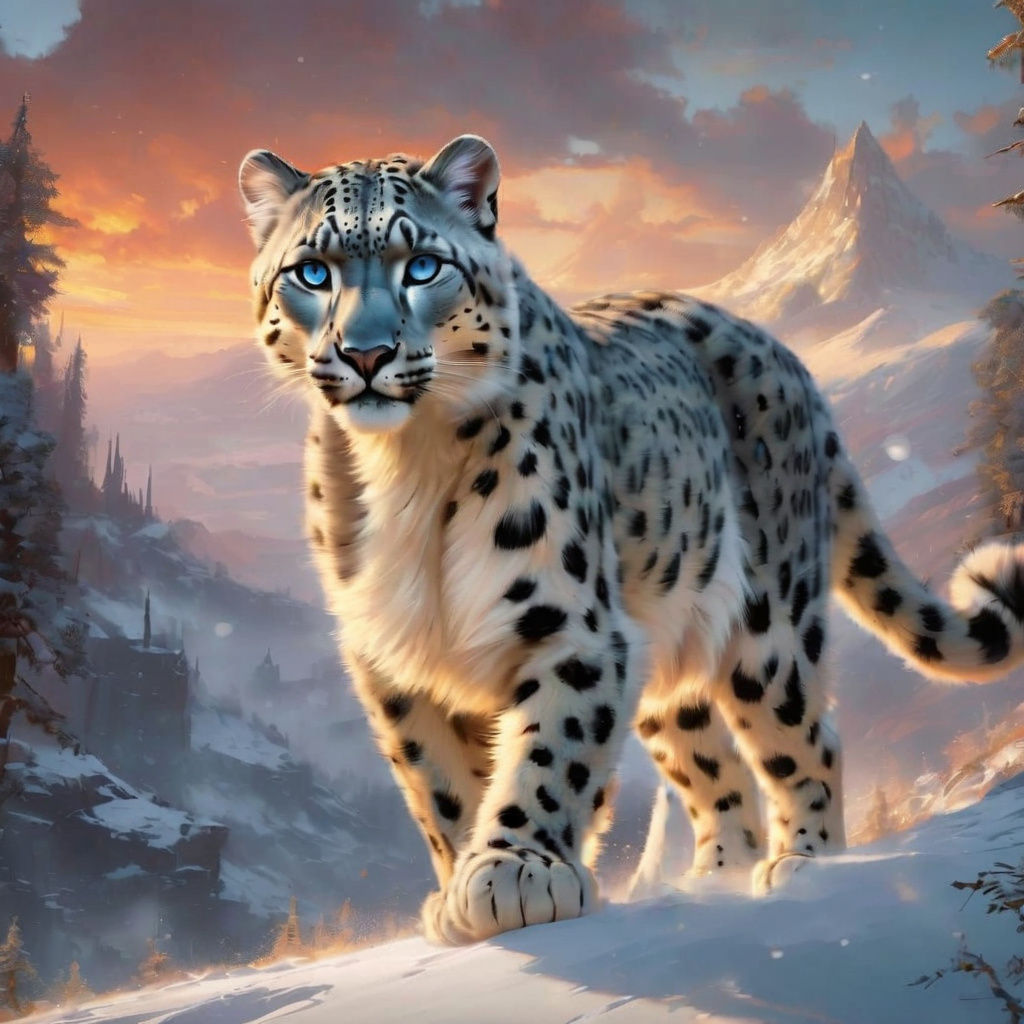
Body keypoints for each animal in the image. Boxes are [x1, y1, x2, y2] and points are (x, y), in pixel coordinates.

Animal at [238, 133, 1024, 944]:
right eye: (312, 271)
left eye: (422, 264)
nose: (365, 354)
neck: (408, 467)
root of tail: (783, 354)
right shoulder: (394, 659)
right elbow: (440, 785)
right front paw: (460, 886)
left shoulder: (571, 626)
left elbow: (549, 751)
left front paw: (515, 873)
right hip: (669, 650)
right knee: (712, 765)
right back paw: (713, 877)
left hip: (769, 626)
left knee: (803, 738)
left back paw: (804, 862)